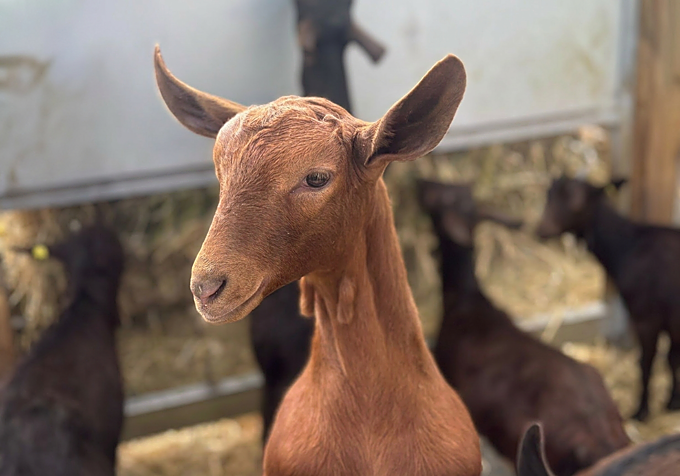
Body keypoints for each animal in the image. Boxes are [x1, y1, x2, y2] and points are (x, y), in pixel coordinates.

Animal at [536, 176, 680, 422]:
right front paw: (672, 403)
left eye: (577, 202)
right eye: (548, 195)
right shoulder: (669, 319)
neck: (627, 245)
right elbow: (672, 359)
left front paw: (641, 411)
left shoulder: (646, 316)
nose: (542, 229)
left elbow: (647, 363)